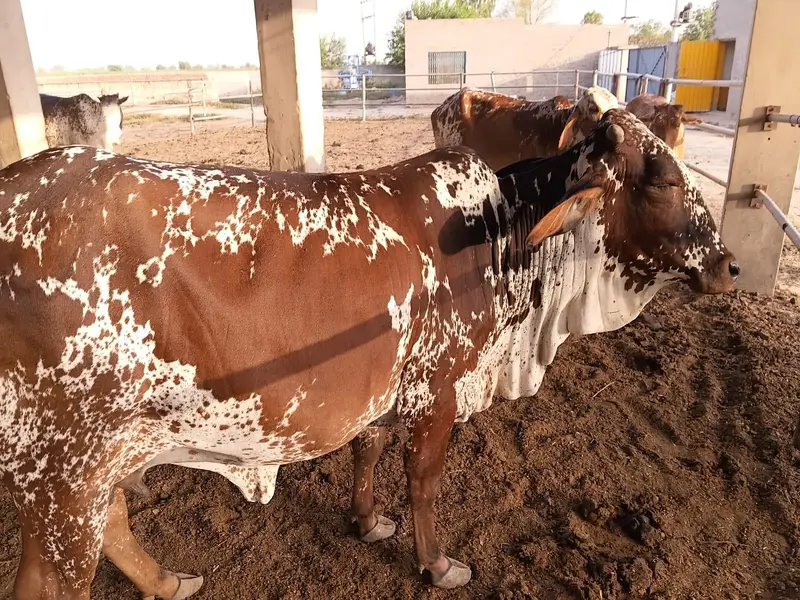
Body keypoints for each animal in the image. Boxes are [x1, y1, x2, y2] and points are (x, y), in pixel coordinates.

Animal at [0, 109, 738, 599]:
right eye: (663, 181)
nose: (730, 266)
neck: (505, 234)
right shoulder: (438, 388)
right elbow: (424, 480)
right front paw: (436, 565)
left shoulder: (387, 387)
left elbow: (369, 448)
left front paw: (366, 521)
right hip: (61, 475)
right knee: (54, 575)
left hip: (85, 469)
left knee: (115, 522)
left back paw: (168, 581)